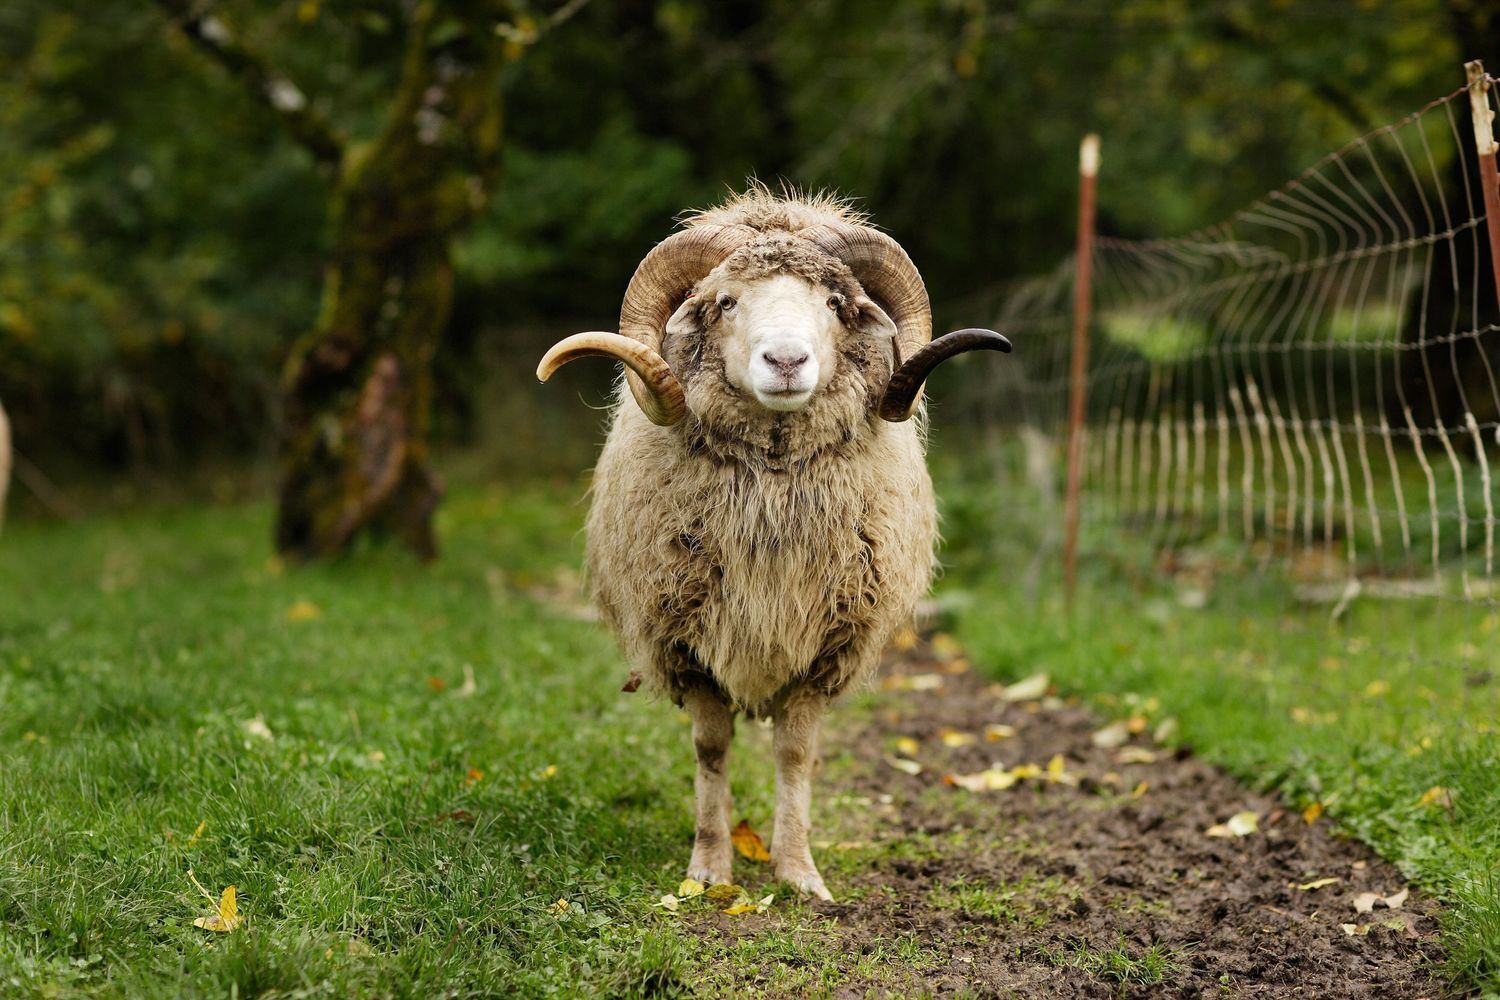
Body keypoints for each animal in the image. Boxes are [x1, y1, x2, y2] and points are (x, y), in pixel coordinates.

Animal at [536, 187, 1009, 900]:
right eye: (727, 301)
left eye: (835, 304)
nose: (786, 362)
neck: (772, 499)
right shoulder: (686, 645)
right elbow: (711, 751)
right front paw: (708, 869)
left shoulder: (828, 648)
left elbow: (795, 754)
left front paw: (798, 873)